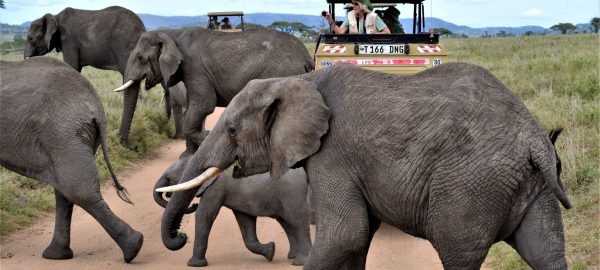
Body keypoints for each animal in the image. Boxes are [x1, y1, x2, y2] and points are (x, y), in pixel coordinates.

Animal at [0, 58, 144, 262]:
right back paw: (57, 255)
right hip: (71, 137)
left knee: (77, 191)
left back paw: (134, 247)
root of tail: (96, 107)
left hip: (64, 134)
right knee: (65, 191)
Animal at [114, 26, 316, 157]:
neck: (170, 33)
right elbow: (196, 107)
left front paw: (206, 138)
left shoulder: (194, 67)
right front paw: (188, 155)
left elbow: (204, 105)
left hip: (282, 75)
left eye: (140, 57)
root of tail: (306, 58)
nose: (135, 147)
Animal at [152, 157, 312, 266]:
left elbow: (205, 215)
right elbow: (245, 222)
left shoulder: (216, 187)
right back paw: (292, 256)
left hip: (293, 192)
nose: (182, 235)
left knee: (298, 220)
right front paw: (270, 251)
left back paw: (299, 262)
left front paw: (194, 264)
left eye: (169, 178)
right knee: (287, 223)